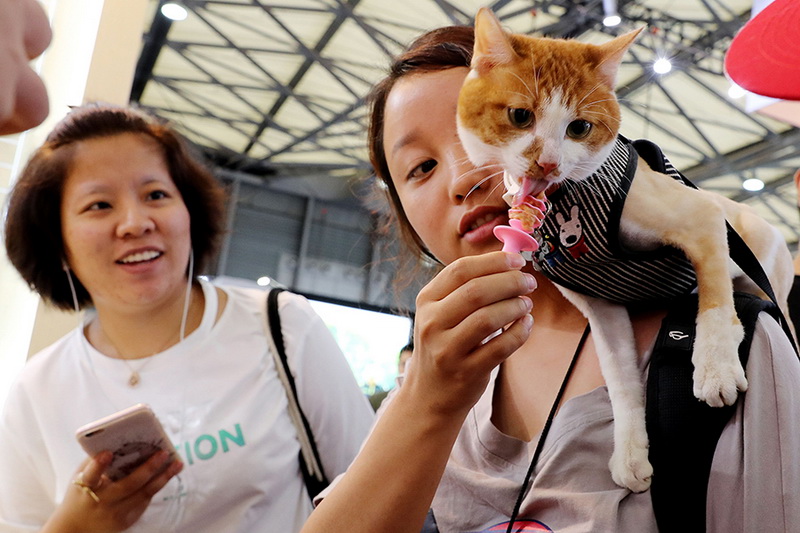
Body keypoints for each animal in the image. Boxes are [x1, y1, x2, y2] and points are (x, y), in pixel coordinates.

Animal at [456, 7, 792, 490]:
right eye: (520, 116)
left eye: (579, 128)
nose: (548, 163)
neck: (568, 204)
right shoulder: (602, 310)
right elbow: (620, 381)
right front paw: (631, 452)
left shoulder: (702, 214)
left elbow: (713, 303)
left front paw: (714, 366)